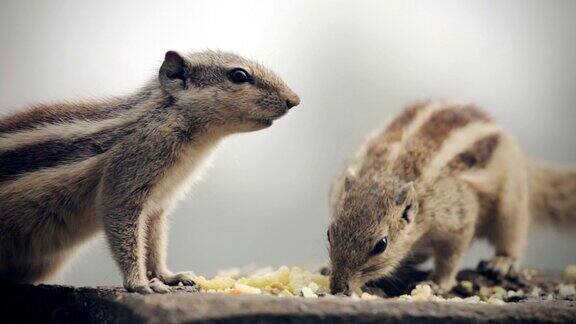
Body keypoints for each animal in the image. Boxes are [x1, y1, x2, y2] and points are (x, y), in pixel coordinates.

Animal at [1, 50, 302, 294]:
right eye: (239, 75)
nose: (295, 100)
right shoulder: (128, 175)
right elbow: (125, 230)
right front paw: (139, 283)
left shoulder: (159, 203)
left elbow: (154, 242)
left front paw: (168, 277)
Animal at [328, 102, 576, 294]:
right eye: (329, 233)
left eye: (381, 245)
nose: (338, 288)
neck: (389, 173)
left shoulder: (458, 219)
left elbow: (451, 257)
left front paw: (437, 284)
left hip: (512, 202)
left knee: (511, 235)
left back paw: (502, 262)